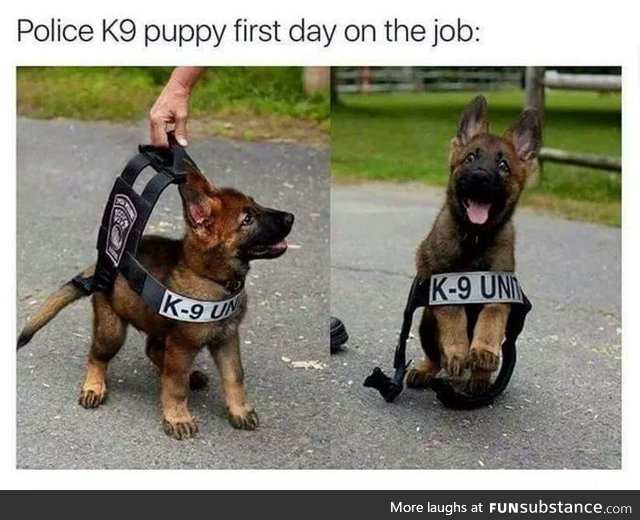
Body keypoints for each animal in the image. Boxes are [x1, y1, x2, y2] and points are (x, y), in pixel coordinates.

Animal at [16, 167, 292, 438]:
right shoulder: (182, 345)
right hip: (112, 330)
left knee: (154, 351)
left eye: (255, 204)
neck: (211, 278)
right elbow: (176, 385)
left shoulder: (227, 338)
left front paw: (240, 410)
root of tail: (100, 266)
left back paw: (190, 376)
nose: (290, 217)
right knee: (98, 356)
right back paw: (94, 386)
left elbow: (234, 376)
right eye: (247, 220)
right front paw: (178, 417)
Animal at [404, 93, 540, 394]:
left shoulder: (499, 290)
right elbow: (453, 316)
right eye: (470, 158)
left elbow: (490, 319)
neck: (475, 238)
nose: (480, 177)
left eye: (503, 166)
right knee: (435, 357)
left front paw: (483, 352)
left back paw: (479, 377)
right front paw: (457, 351)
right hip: (426, 323)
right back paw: (426, 370)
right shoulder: (443, 285)